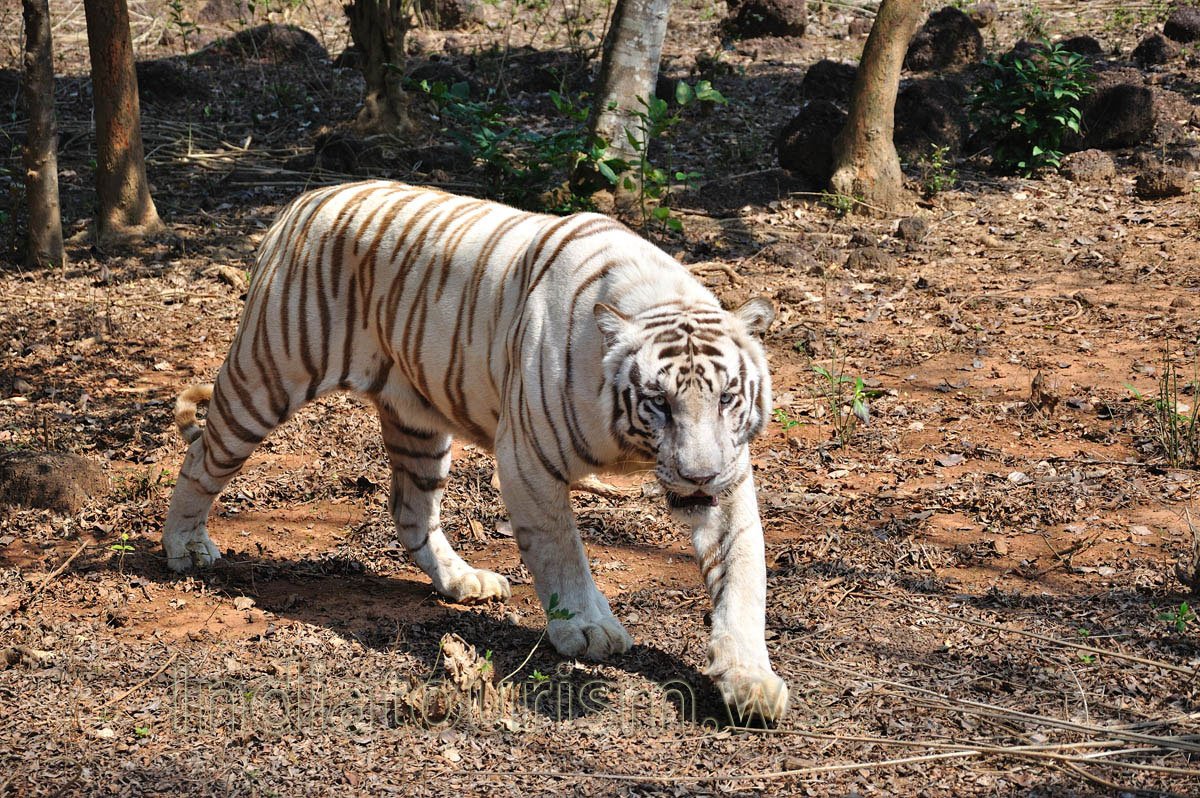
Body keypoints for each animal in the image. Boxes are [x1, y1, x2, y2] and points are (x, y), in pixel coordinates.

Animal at [164, 180, 788, 721]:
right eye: (658, 402)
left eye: (727, 397)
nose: (699, 476)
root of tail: (304, 199)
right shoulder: (528, 458)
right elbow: (563, 552)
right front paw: (588, 631)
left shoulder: (732, 480)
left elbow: (742, 577)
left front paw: (751, 681)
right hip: (267, 375)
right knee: (200, 460)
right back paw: (185, 547)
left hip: (418, 422)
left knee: (410, 511)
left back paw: (462, 581)